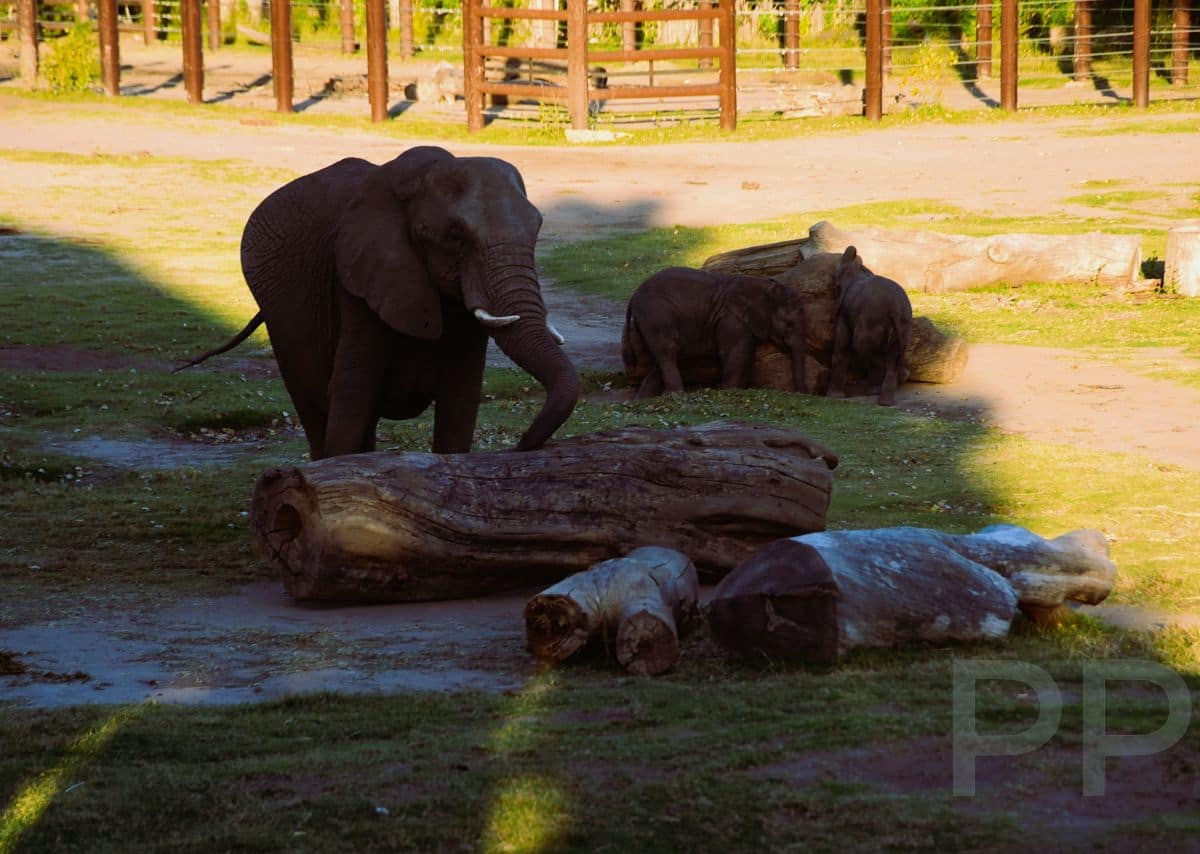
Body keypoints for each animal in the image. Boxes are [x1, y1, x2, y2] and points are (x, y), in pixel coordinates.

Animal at [177, 146, 580, 459]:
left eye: (538, 228)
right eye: (454, 237)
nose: (520, 445)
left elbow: (461, 401)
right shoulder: (357, 279)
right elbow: (351, 396)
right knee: (314, 404)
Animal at [623, 266, 808, 398]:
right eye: (789, 324)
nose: (802, 394)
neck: (762, 287)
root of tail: (633, 296)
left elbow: (746, 351)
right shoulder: (730, 318)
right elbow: (735, 351)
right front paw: (730, 391)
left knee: (664, 356)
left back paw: (644, 399)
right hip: (656, 316)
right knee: (667, 352)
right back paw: (676, 396)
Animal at [827, 245, 913, 406]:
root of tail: (896, 306)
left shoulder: (844, 311)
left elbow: (841, 344)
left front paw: (834, 397)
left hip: (872, 319)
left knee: (862, 345)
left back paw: (874, 391)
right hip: (904, 324)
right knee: (893, 355)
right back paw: (887, 399)